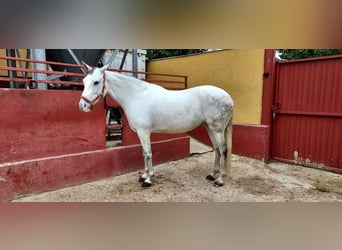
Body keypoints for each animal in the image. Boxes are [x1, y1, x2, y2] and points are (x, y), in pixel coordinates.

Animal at [79, 62, 234, 188]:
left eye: (96, 82)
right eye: (84, 81)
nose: (82, 106)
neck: (136, 96)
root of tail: (229, 98)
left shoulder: (144, 132)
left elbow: (148, 153)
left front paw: (148, 180)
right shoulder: (141, 133)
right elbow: (143, 153)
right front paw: (144, 176)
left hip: (217, 129)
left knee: (223, 149)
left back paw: (220, 179)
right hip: (209, 127)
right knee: (217, 149)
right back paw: (212, 175)